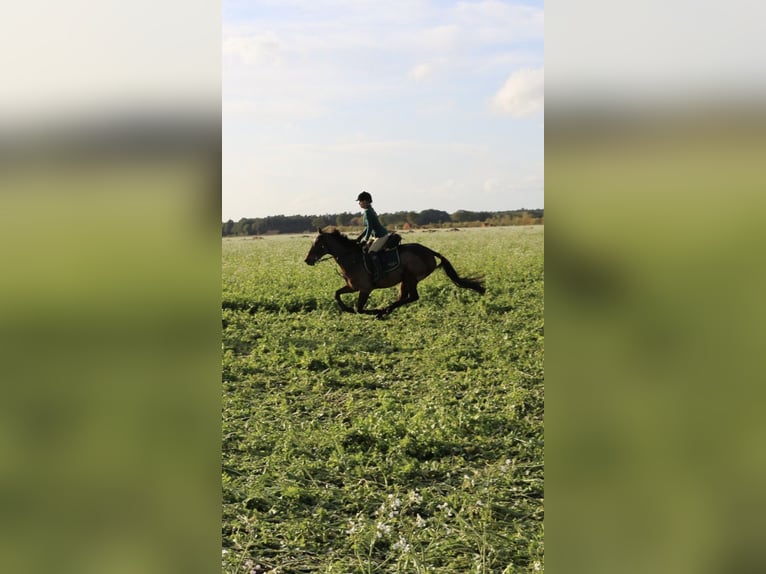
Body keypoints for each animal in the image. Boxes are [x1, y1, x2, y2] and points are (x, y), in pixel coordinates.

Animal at [304, 227, 485, 317]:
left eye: (318, 244)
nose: (307, 260)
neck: (351, 258)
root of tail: (429, 252)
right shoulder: (353, 287)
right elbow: (337, 294)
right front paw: (347, 309)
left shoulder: (365, 289)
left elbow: (360, 308)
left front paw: (374, 311)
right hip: (405, 280)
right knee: (404, 298)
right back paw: (386, 311)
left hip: (411, 278)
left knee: (411, 297)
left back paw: (383, 311)